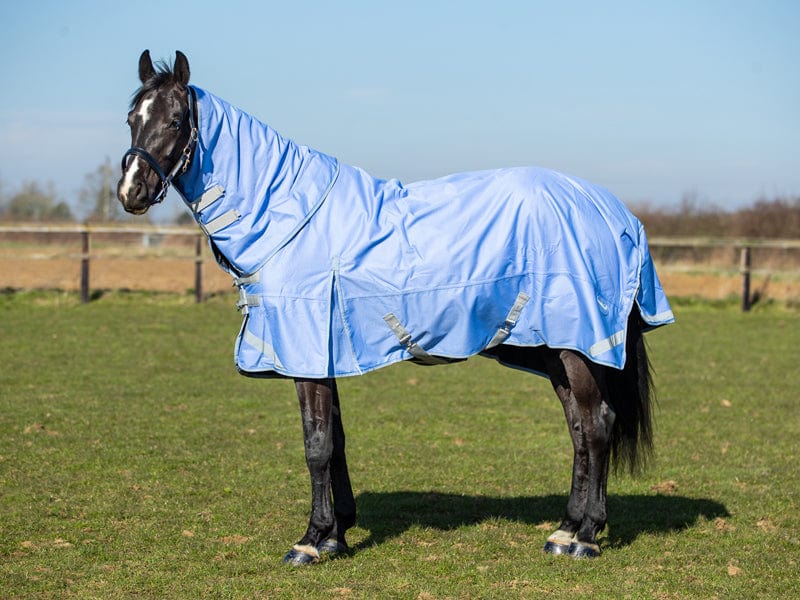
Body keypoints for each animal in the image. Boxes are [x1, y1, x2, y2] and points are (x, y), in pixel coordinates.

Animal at [117, 50, 674, 564]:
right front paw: (336, 534)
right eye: (131, 118)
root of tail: (616, 212)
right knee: (579, 427)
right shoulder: (327, 357)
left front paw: (309, 542)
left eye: (175, 119)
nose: (131, 191)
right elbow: (336, 442)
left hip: (578, 346)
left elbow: (315, 446)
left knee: (597, 423)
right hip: (552, 348)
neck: (290, 216)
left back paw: (586, 538)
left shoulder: (307, 356)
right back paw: (565, 530)